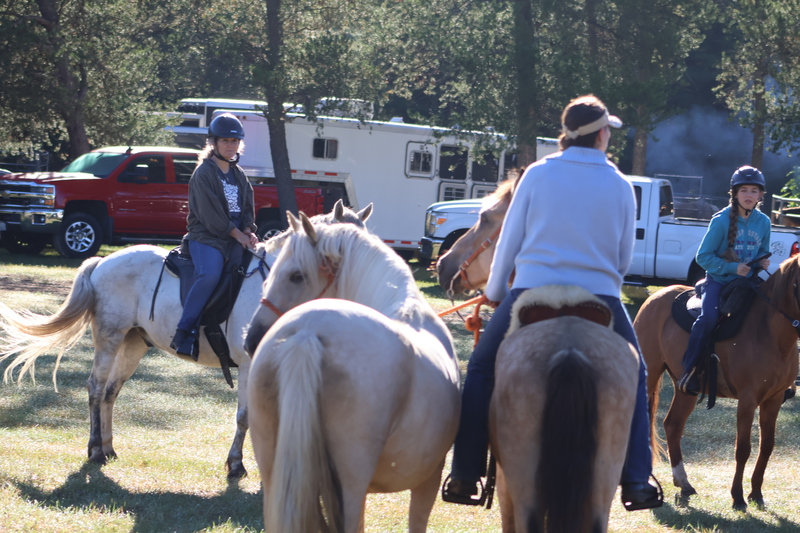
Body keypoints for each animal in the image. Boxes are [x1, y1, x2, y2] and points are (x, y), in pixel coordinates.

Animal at [0, 200, 371, 479]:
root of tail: (103, 261)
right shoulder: (249, 364)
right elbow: (245, 416)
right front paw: (236, 465)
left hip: (133, 344)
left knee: (110, 392)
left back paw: (107, 446)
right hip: (109, 338)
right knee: (95, 388)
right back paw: (94, 450)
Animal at [244, 213, 461, 533]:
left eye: (296, 275)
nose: (251, 340)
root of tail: (307, 332)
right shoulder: (429, 478)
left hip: (273, 477)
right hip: (352, 487)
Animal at [632, 257, 800, 510]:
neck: (769, 332)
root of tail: (654, 298)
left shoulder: (774, 399)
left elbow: (767, 446)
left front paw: (756, 493)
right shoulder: (747, 400)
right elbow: (743, 449)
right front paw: (738, 497)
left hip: (685, 388)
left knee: (673, 424)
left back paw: (684, 483)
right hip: (650, 373)